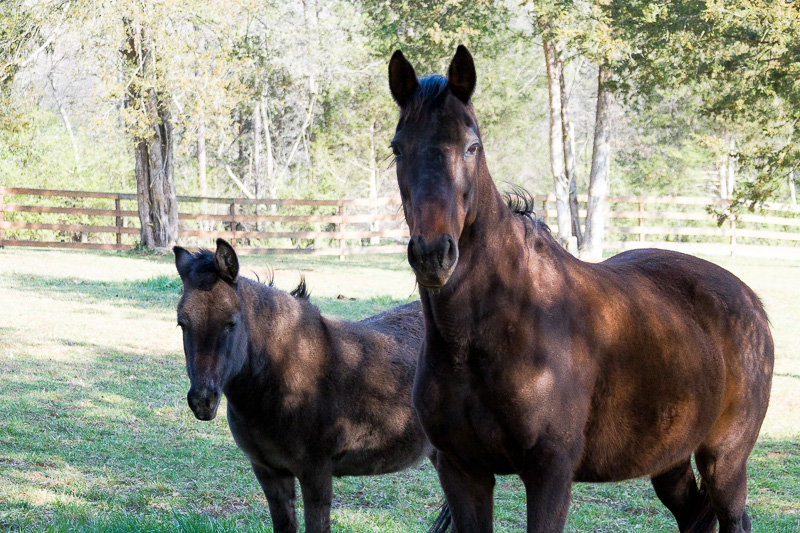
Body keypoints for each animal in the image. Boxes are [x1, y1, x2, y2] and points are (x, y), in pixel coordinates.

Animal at [388, 45, 776, 532]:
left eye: (472, 146)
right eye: (397, 148)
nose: (433, 254)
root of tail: (752, 302)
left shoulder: (550, 473)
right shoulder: (462, 471)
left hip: (724, 459)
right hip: (669, 460)